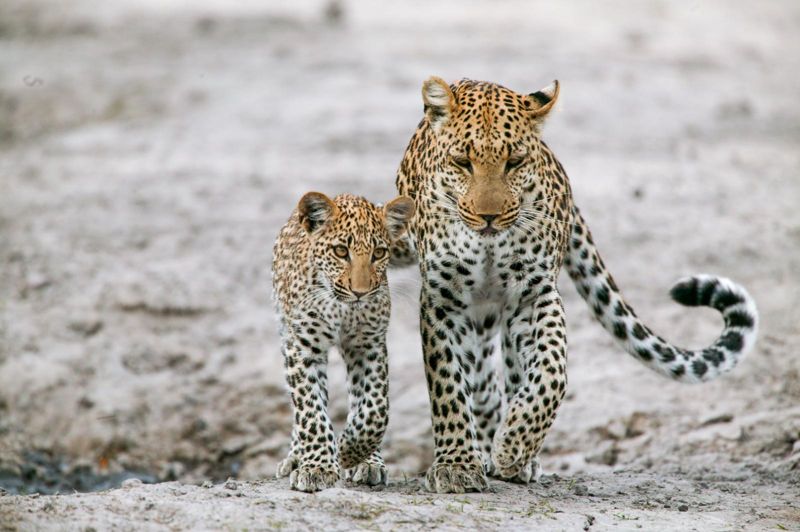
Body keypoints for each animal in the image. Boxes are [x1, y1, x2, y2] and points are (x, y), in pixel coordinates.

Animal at [272, 191, 414, 492]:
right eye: (340, 252)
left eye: (379, 253)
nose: (360, 292)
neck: (342, 309)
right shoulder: (303, 348)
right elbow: (310, 410)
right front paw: (318, 467)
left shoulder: (368, 345)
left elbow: (375, 407)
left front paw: (351, 451)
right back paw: (296, 457)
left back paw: (368, 462)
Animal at [393, 77, 759, 493]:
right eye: (462, 162)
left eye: (514, 162)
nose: (488, 217)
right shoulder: (443, 300)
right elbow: (448, 386)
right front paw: (456, 465)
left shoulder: (534, 295)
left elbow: (551, 372)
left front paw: (514, 445)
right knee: (481, 381)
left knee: (506, 376)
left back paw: (514, 456)